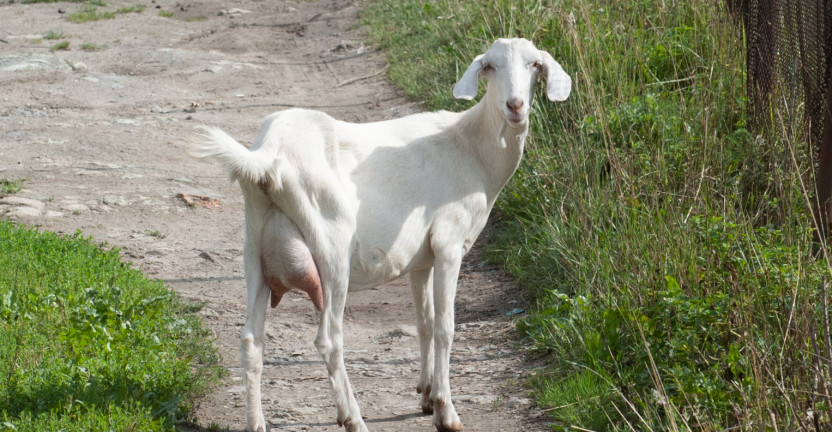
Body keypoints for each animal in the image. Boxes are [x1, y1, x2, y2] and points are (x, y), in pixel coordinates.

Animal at [193, 38, 572, 432]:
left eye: (534, 64)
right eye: (490, 66)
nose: (515, 106)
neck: (471, 148)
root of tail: (268, 158)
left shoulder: (422, 258)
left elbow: (424, 323)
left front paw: (426, 396)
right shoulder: (449, 244)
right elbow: (445, 327)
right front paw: (447, 411)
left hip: (254, 248)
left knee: (251, 341)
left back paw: (256, 421)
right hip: (331, 247)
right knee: (329, 339)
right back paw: (353, 418)